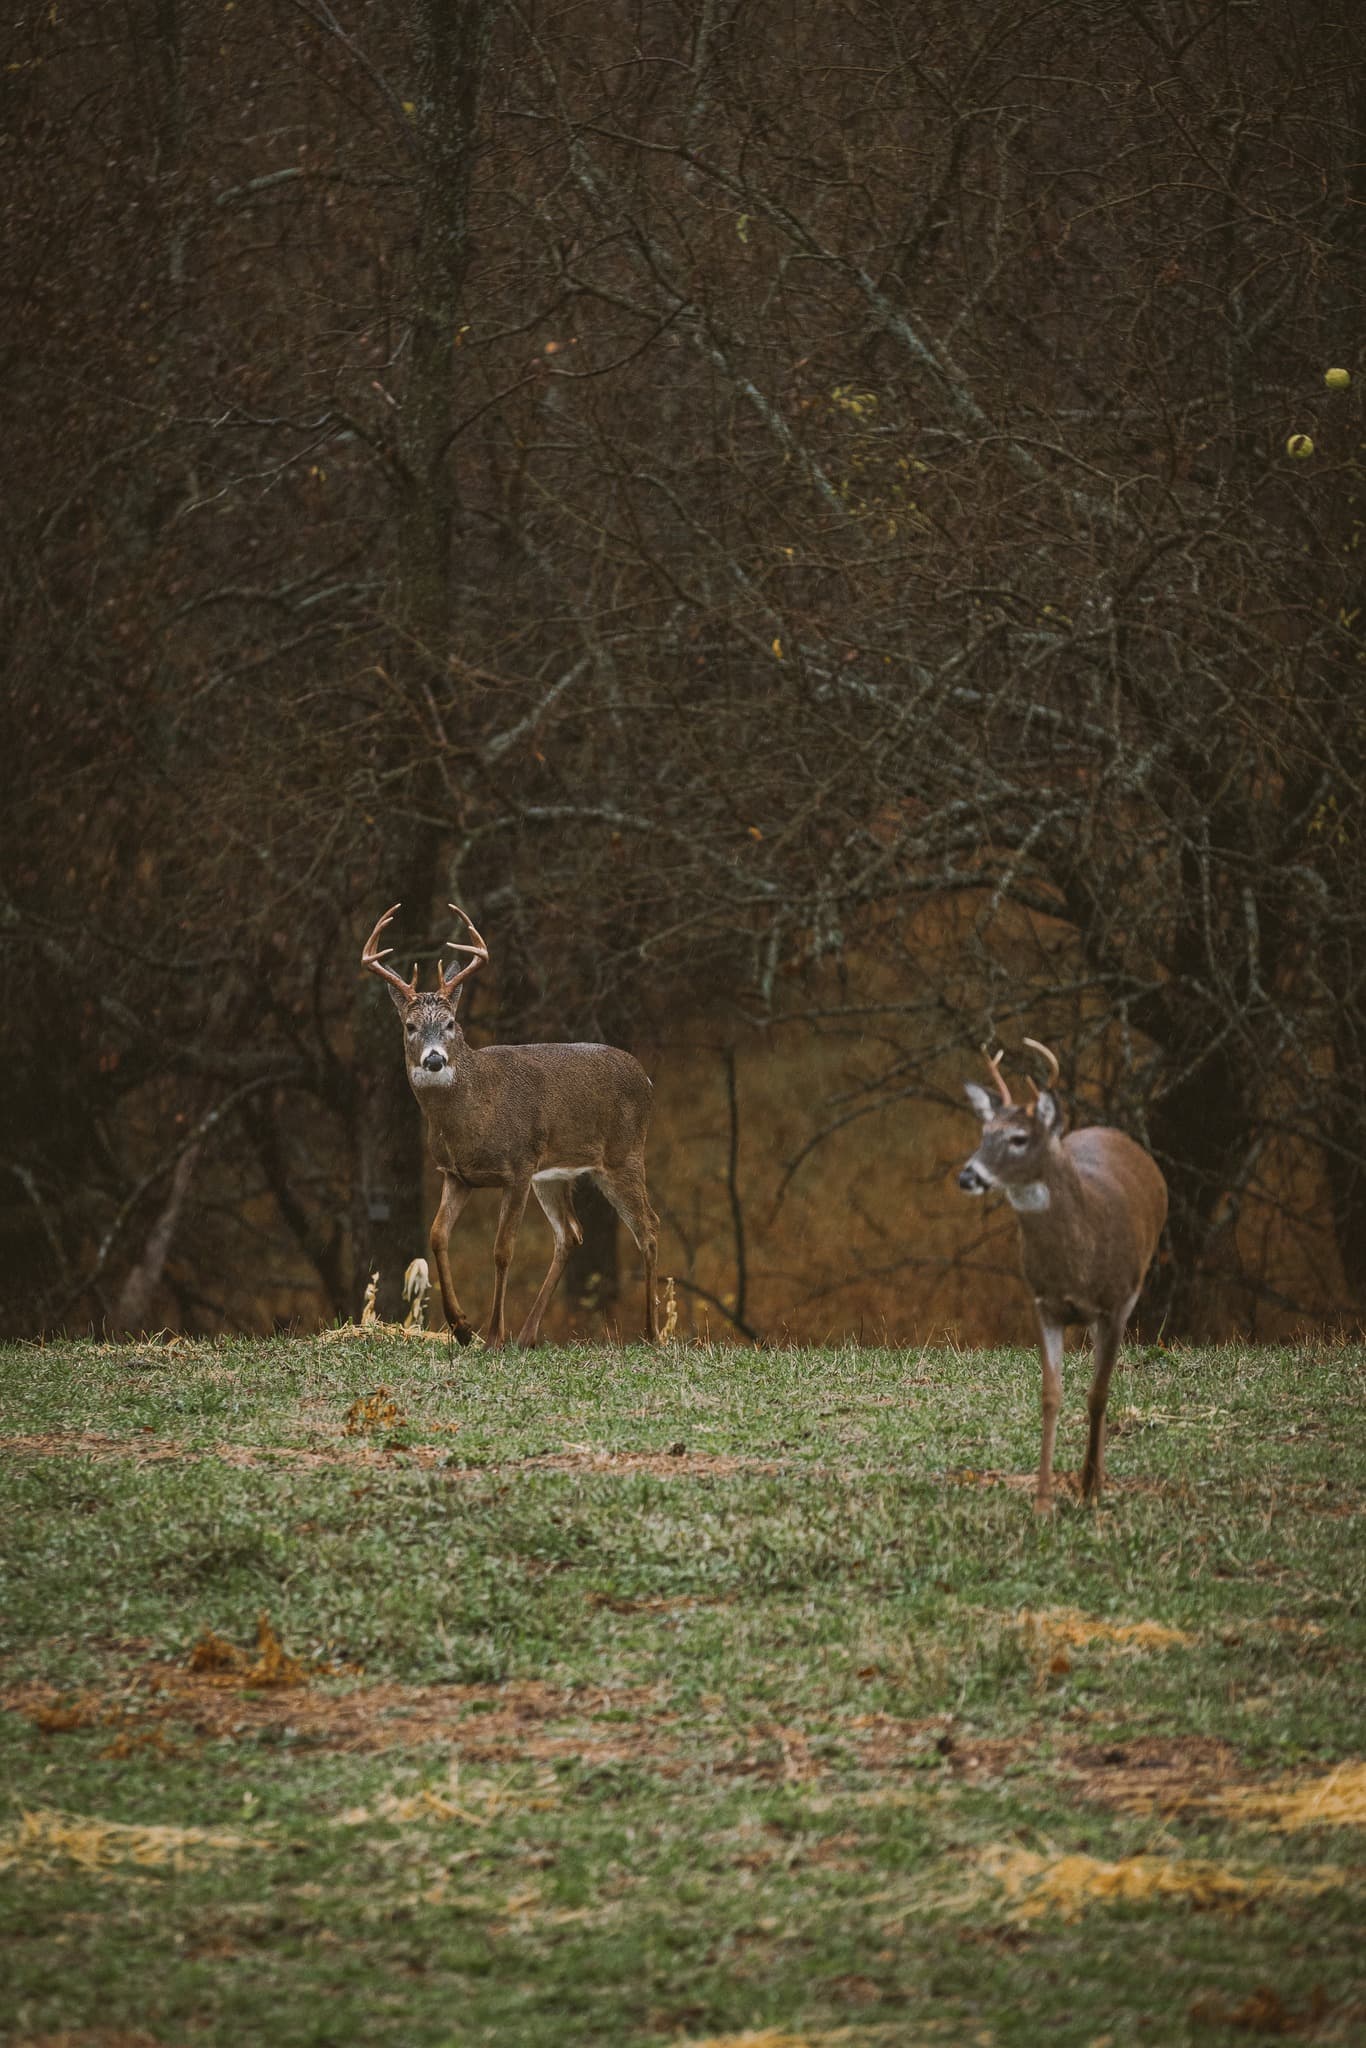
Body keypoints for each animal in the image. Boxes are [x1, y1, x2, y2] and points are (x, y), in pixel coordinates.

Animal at [361, 903, 660, 1349]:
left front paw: (492, 1335)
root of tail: (645, 1078)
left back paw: (651, 1333)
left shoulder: (517, 1167)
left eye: (450, 1023)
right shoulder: (456, 1175)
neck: (474, 1116)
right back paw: (528, 1335)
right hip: (553, 1174)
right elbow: (437, 1236)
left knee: (648, 1229)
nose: (434, 1059)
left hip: (623, 1155)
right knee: (571, 1233)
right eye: (410, 1027)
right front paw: (462, 1327)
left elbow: (502, 1250)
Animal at [957, 1039, 1167, 1512]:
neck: (1077, 1263)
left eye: (1019, 1138)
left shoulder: (1116, 1303)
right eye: (983, 1134)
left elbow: (1098, 1393)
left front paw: (1089, 1489)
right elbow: (1051, 1395)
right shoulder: (1044, 1303)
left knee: (1102, 1384)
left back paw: (1097, 1479)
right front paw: (1043, 1500)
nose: (967, 1175)